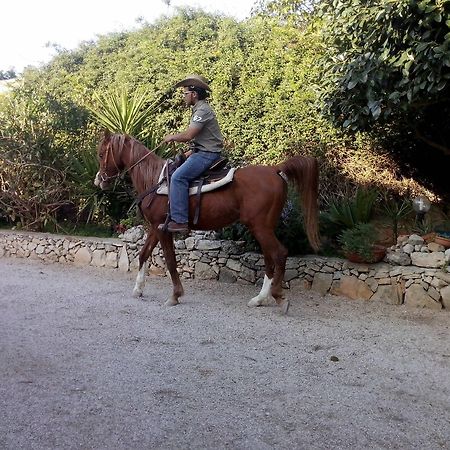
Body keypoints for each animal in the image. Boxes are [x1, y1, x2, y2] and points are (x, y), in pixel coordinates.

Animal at [95, 132, 320, 312]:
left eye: (101, 154)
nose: (99, 180)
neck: (155, 180)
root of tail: (275, 169)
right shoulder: (155, 227)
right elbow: (143, 254)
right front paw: (138, 289)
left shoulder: (164, 229)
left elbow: (170, 260)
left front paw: (175, 295)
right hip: (263, 228)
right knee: (269, 258)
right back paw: (259, 299)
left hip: (261, 227)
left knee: (279, 254)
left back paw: (278, 297)